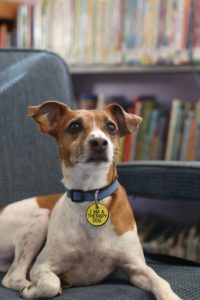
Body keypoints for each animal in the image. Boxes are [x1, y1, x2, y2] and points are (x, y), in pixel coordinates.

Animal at [0, 100, 181, 298]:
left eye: (111, 127)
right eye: (74, 126)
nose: (99, 142)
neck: (91, 193)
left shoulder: (137, 267)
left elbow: (160, 281)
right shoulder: (43, 266)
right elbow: (50, 284)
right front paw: (33, 289)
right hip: (40, 218)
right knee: (12, 276)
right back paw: (27, 286)